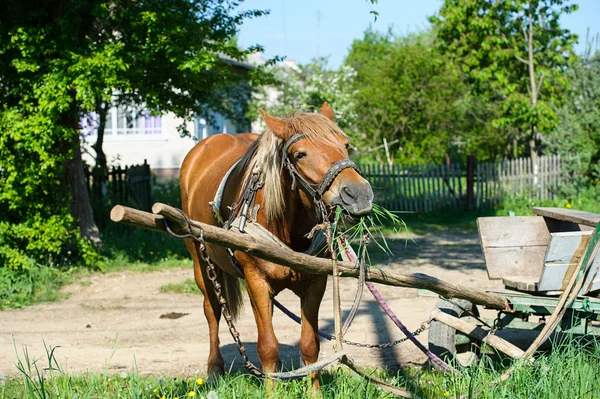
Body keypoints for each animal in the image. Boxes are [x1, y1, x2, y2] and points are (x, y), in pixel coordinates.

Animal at [178, 104, 372, 394]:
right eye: (300, 154)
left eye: (345, 145)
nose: (359, 194)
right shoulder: (256, 281)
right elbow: (267, 346)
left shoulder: (316, 282)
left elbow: (310, 344)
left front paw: (313, 393)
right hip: (200, 261)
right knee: (212, 311)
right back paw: (214, 368)